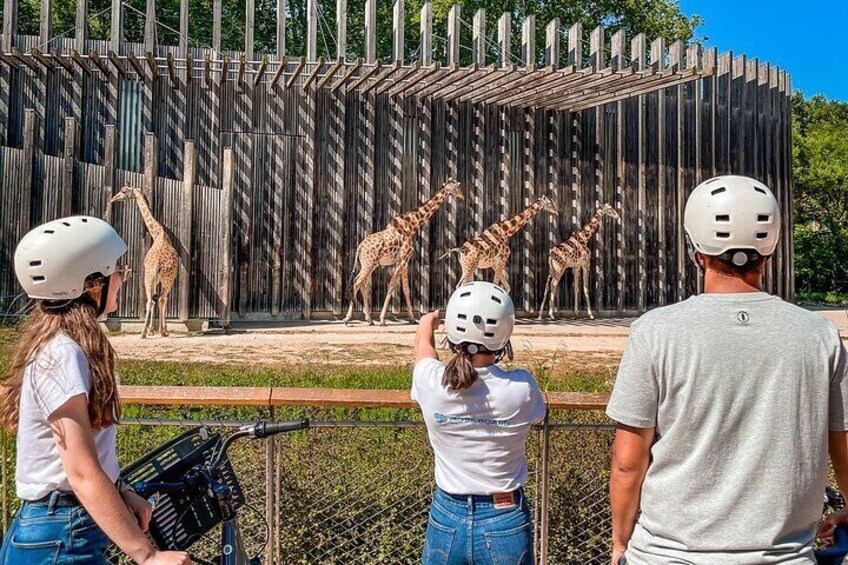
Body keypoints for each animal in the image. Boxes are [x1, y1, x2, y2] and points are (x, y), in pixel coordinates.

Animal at [108, 185, 180, 338]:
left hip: (152, 277)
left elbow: (155, 298)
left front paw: (153, 329)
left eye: (123, 191)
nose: (113, 199)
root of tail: (158, 264)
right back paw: (157, 332)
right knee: (159, 299)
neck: (159, 234)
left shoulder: (157, 278)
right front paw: (158, 329)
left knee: (152, 300)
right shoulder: (159, 279)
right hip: (161, 278)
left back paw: (144, 333)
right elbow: (159, 298)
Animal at [342, 176, 464, 326]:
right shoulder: (403, 259)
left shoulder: (404, 262)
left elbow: (406, 289)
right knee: (357, 282)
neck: (412, 225)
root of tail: (359, 248)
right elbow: (392, 285)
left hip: (370, 264)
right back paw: (348, 318)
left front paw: (412, 318)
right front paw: (382, 319)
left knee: (362, 283)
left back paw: (369, 319)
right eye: (457, 187)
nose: (462, 196)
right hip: (369, 263)